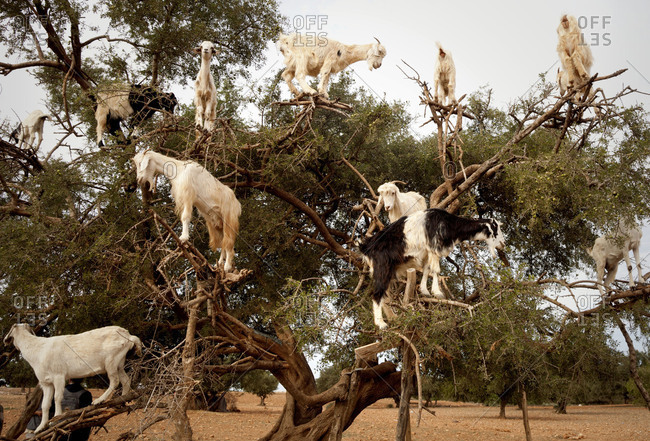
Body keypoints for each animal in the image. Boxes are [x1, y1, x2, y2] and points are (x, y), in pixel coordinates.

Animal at [3, 324, 142, 433]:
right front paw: (41, 427)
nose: (5, 341)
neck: (38, 350)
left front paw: (55, 419)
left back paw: (99, 401)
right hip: (119, 362)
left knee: (115, 381)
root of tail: (129, 336)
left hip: (111, 360)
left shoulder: (59, 376)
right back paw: (121, 401)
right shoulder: (46, 383)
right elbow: (45, 404)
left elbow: (57, 398)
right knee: (125, 380)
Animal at [359, 208, 505, 329]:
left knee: (385, 296)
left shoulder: (427, 252)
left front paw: (425, 291)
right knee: (377, 293)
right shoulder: (434, 248)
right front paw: (438, 292)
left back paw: (392, 318)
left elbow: (426, 269)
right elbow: (436, 270)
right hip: (382, 267)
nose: (503, 244)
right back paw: (381, 324)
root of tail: (366, 247)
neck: (448, 223)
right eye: (496, 230)